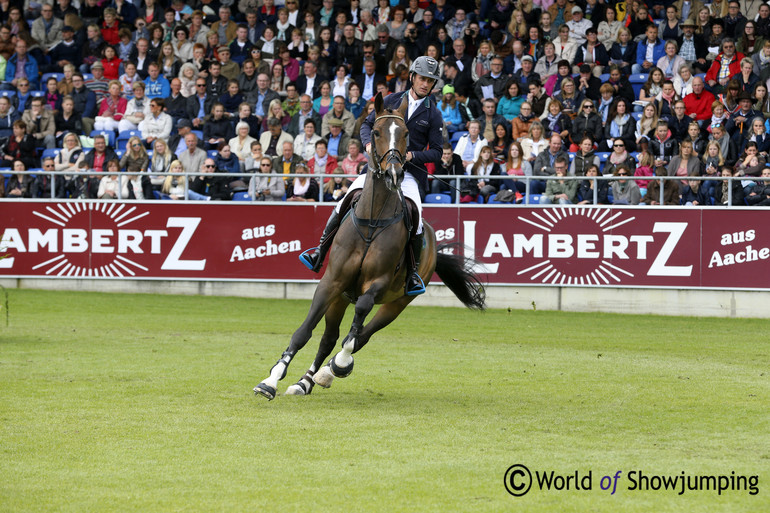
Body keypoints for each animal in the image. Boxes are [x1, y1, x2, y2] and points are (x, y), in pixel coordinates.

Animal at [255, 92, 484, 400]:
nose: (394, 173)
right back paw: (305, 382)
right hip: (341, 296)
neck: (373, 220)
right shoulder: (332, 280)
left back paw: (332, 370)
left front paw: (339, 364)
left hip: (397, 303)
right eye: (375, 131)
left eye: (406, 133)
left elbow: (358, 322)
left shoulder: (378, 283)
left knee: (361, 334)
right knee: (329, 338)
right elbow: (305, 332)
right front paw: (270, 380)